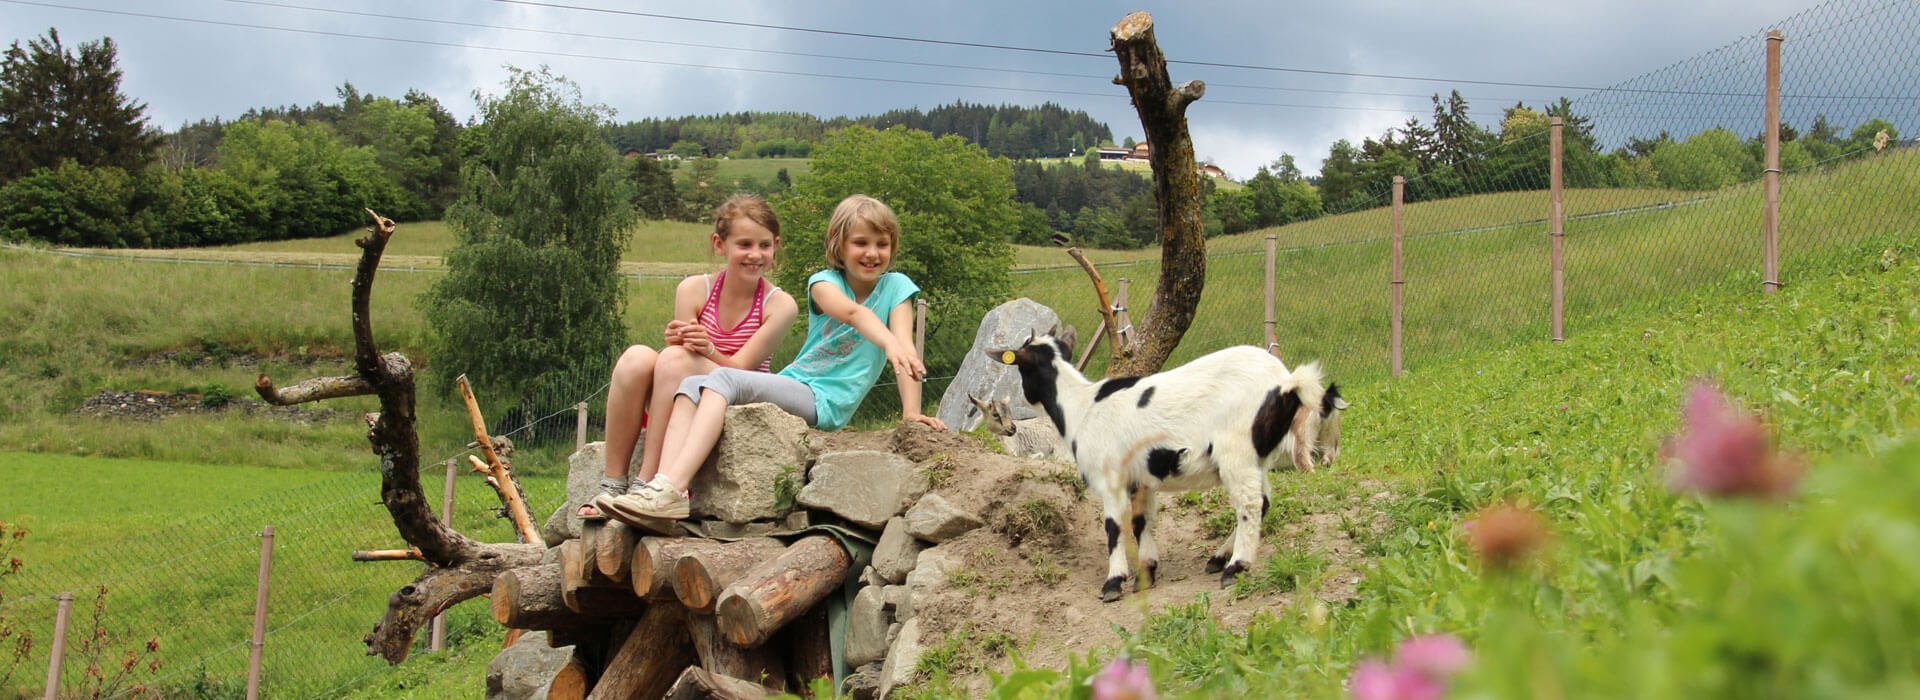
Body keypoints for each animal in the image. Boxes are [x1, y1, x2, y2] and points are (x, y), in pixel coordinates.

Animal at [983, 329, 1328, 598]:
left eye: (1021, 368)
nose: (1025, 398)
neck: (1081, 406)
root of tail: (1288, 383)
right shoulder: (1141, 480)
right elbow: (1140, 522)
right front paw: (1146, 573)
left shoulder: (1109, 477)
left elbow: (1113, 526)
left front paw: (1113, 582)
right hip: (1258, 454)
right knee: (1264, 501)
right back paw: (1219, 557)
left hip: (1236, 450)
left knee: (1250, 504)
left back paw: (1235, 567)